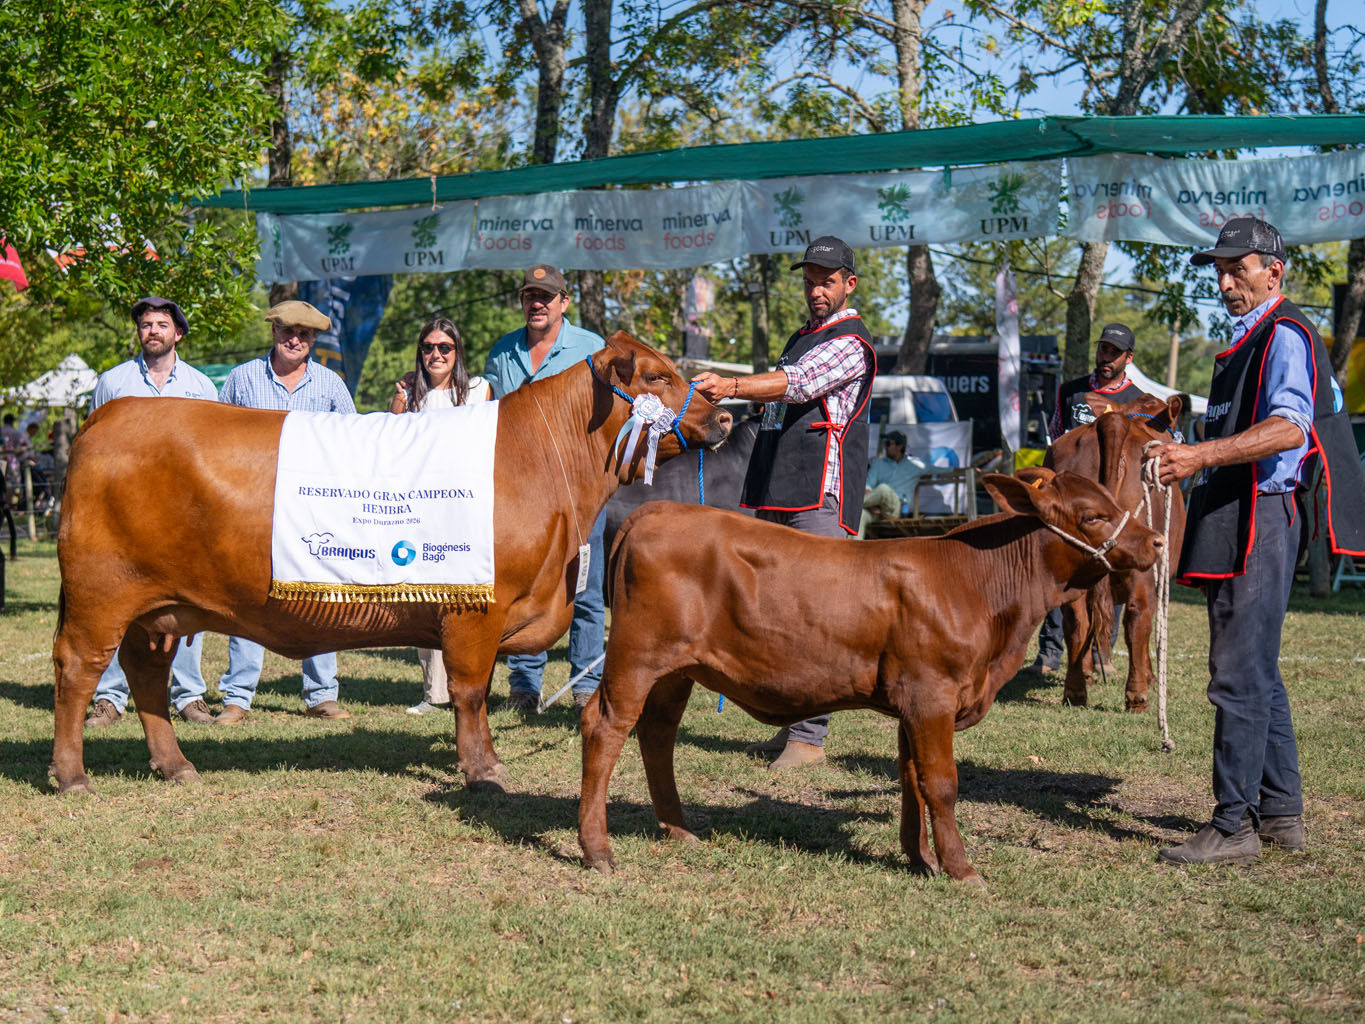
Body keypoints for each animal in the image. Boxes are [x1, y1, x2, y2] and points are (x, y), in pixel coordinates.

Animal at [49, 332, 732, 796]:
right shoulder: (475, 611)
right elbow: (469, 692)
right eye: (658, 375)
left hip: (158, 610)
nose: (725, 413)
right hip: (100, 595)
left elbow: (475, 691)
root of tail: (107, 413)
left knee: (144, 675)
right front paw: (484, 770)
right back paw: (71, 773)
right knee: (79, 669)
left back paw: (176, 765)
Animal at [577, 468, 1163, 884]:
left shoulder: (913, 703)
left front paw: (921, 859)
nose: (1158, 541)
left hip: (678, 670)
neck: (976, 583)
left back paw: (679, 830)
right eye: (1093, 516)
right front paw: (961, 869)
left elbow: (912, 779)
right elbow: (942, 783)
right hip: (636, 656)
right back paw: (597, 849)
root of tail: (659, 508)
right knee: (605, 727)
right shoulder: (933, 694)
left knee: (657, 734)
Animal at [1045, 394, 1187, 711]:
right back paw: (1137, 696)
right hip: (1143, 565)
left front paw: (1088, 672)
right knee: (1137, 616)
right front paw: (1149, 675)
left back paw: (1075, 691)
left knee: (1076, 619)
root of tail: (1114, 421)